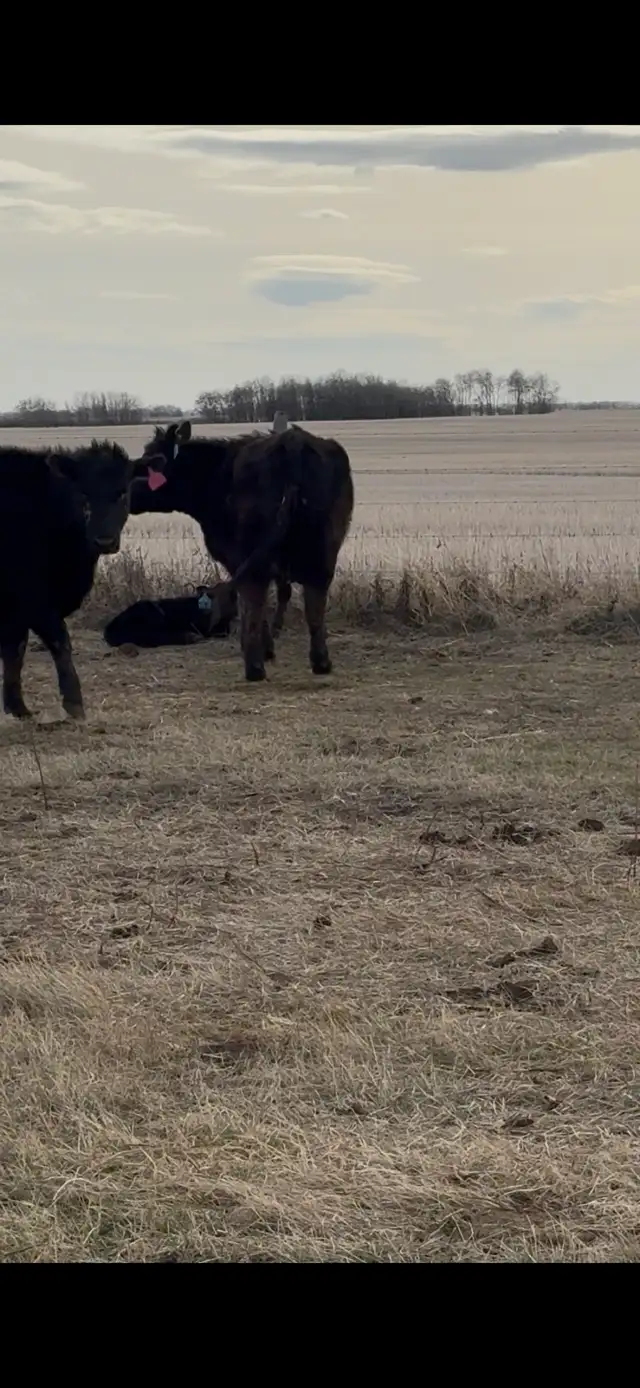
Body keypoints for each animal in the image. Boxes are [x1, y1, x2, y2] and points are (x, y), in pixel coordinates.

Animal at [0, 439, 139, 721]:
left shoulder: (17, 610)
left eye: (122, 493)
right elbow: (60, 642)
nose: (104, 541)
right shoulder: (33, 599)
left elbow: (15, 652)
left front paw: (17, 707)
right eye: (83, 493)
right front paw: (74, 703)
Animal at [130, 420, 354, 683]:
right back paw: (321, 662)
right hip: (325, 546)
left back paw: (254, 665)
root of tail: (292, 442)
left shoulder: (233, 556)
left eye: (151, 460)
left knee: (255, 593)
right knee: (315, 598)